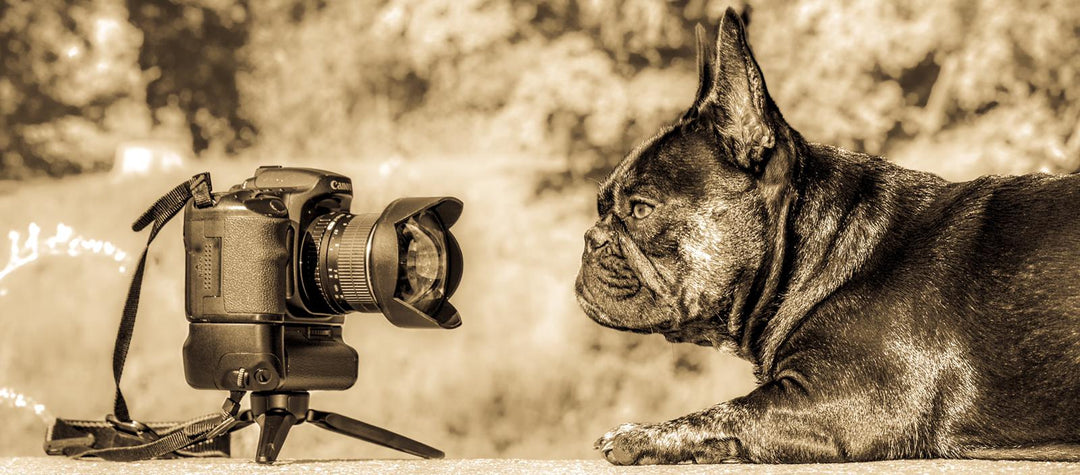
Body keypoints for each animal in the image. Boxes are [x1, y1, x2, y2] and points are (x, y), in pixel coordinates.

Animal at [578, 7, 1080, 466]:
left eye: (641, 209)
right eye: (601, 206)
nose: (590, 239)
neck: (823, 249)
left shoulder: (848, 397)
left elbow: (726, 413)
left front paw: (639, 434)